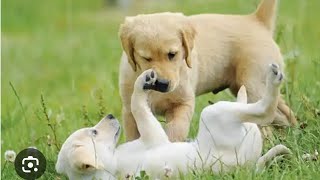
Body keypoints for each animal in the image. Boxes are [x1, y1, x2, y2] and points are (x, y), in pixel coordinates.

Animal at [56, 63, 292, 179]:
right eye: (93, 132)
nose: (110, 116)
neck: (111, 166)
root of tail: (243, 164)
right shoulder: (154, 137)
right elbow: (138, 107)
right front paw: (141, 85)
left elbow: (137, 104)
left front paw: (143, 81)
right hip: (213, 114)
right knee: (263, 110)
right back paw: (273, 79)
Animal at [119, 0, 296, 141]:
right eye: (146, 58)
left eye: (172, 54)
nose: (162, 84)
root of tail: (255, 19)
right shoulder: (129, 110)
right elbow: (133, 136)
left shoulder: (183, 103)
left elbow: (176, 130)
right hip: (250, 85)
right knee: (283, 112)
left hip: (253, 84)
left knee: (268, 114)